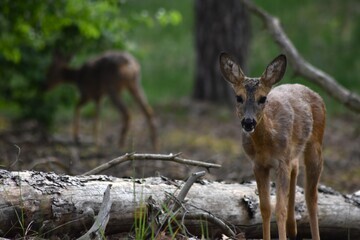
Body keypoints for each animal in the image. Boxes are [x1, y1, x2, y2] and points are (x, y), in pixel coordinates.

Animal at [219, 53, 326, 240]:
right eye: (239, 97)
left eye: (263, 98)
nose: (248, 122)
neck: (266, 144)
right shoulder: (258, 165)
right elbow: (265, 208)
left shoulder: (281, 162)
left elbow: (279, 209)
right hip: (294, 152)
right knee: (296, 168)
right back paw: (292, 228)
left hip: (315, 144)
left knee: (311, 196)